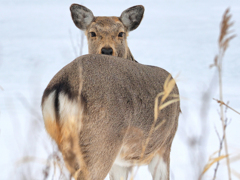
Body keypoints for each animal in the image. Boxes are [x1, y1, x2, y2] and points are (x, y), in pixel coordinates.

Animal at [41, 3, 180, 180]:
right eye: (92, 33)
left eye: (121, 33)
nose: (107, 50)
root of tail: (63, 86)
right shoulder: (165, 144)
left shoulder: (121, 162)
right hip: (101, 141)